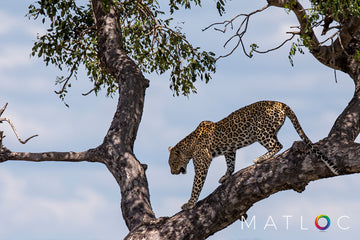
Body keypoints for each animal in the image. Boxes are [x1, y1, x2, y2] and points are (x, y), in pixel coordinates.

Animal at [167, 100, 338, 210]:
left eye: (172, 163)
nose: (172, 173)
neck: (188, 146)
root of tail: (279, 103)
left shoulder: (202, 162)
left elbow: (196, 185)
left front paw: (189, 204)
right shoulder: (229, 150)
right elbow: (230, 164)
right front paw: (226, 176)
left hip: (260, 130)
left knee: (278, 145)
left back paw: (260, 158)